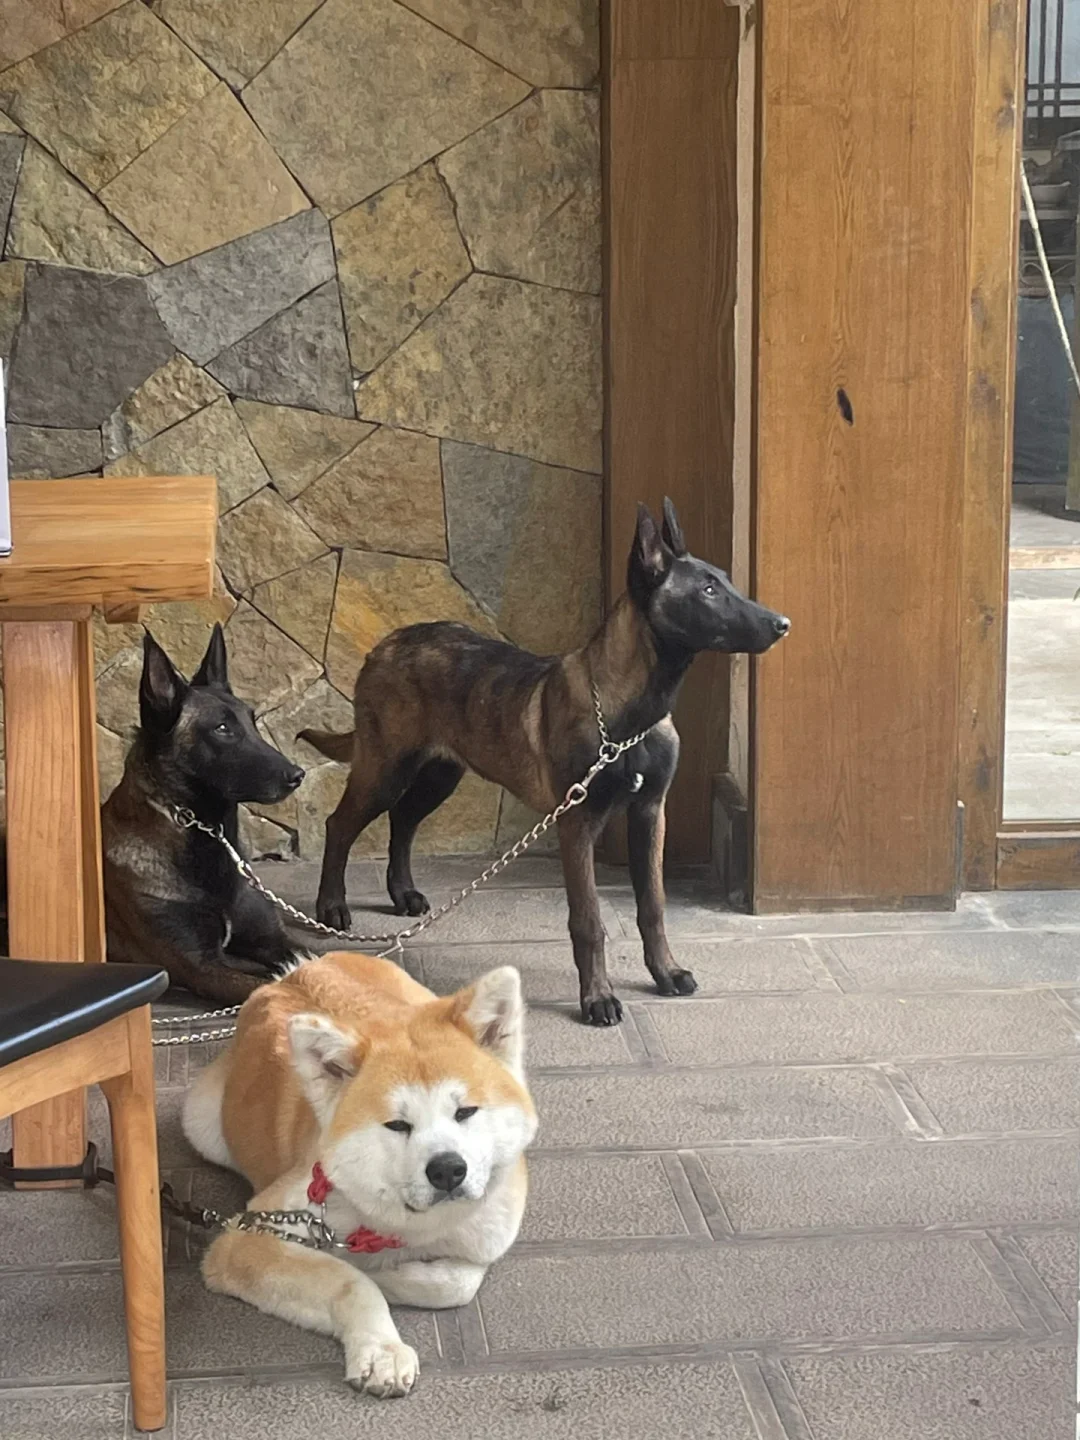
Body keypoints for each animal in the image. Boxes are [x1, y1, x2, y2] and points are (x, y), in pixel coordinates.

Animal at [101, 624, 305, 1005]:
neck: (205, 832)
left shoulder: (275, 941)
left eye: (253, 722)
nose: (298, 775)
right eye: (222, 728)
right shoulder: (203, 967)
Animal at [182, 952, 535, 1397]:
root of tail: (299, 970)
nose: (448, 1169)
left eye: (465, 1111)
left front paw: (391, 1274)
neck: (410, 1228)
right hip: (202, 1124)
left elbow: (456, 1284)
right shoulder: (246, 1236)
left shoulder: (488, 1234)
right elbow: (349, 1280)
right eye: (397, 1125)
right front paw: (382, 1347)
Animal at [300, 500, 789, 1026]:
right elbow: (589, 921)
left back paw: (403, 893)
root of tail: (386, 645)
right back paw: (331, 908)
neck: (629, 714)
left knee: (404, 820)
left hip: (439, 775)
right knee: (341, 825)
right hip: (386, 769)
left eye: (725, 581)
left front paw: (665, 972)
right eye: (708, 590)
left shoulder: (650, 814)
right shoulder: (577, 824)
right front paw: (597, 997)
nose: (782, 623)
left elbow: (653, 906)